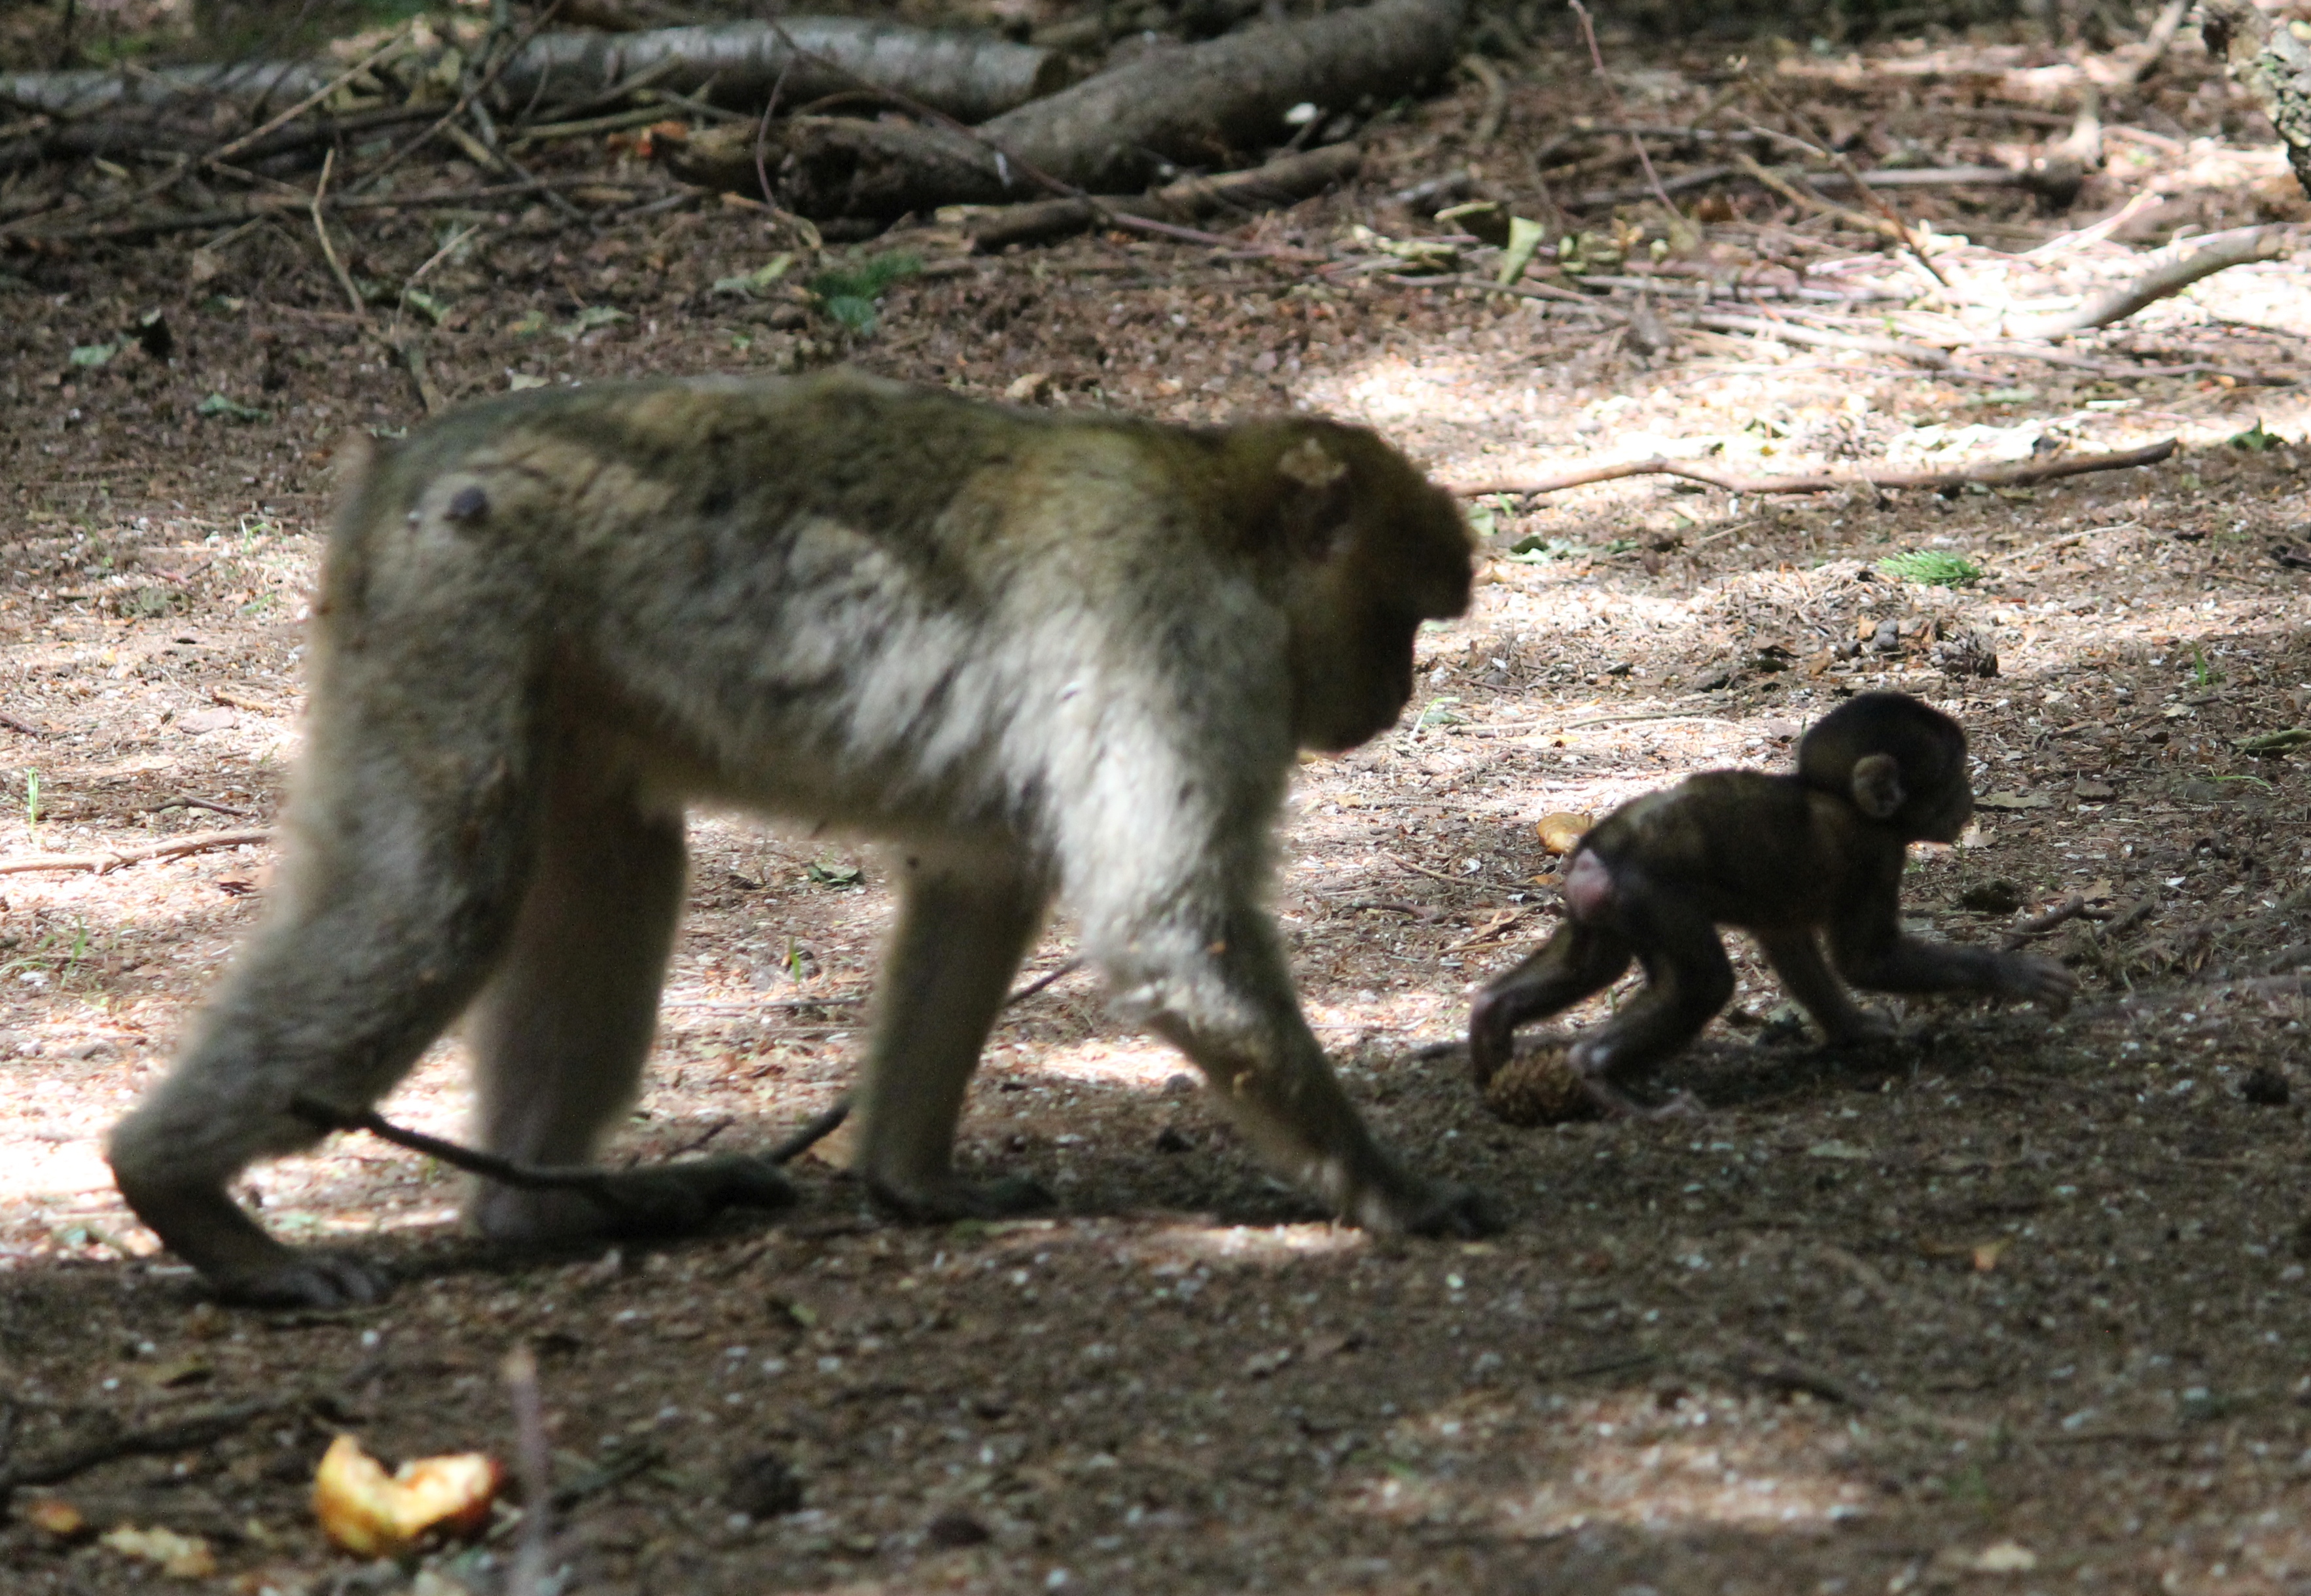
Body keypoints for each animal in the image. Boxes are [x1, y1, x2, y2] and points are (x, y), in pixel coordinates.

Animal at [103, 367, 1497, 1302]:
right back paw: (182, 1194)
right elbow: (1165, 923)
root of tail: (398, 468)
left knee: (616, 864)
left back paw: (534, 1211)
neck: (1219, 513)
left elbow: (982, 880)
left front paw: (914, 1181)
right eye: (1403, 620)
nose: (1398, 693)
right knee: (438, 900)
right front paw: (1388, 1189)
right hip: (451, 612)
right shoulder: (1184, 641)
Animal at [1469, 692, 2089, 1118]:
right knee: (1703, 983)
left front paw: (1857, 1028)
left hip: (1601, 907)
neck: (1841, 801)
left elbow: (1787, 941)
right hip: (1649, 894)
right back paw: (1600, 1077)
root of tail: (1593, 860)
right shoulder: (1873, 853)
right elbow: (1865, 961)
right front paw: (2012, 973)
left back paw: (1492, 1027)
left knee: (1591, 964)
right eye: (1954, 776)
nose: (1968, 799)